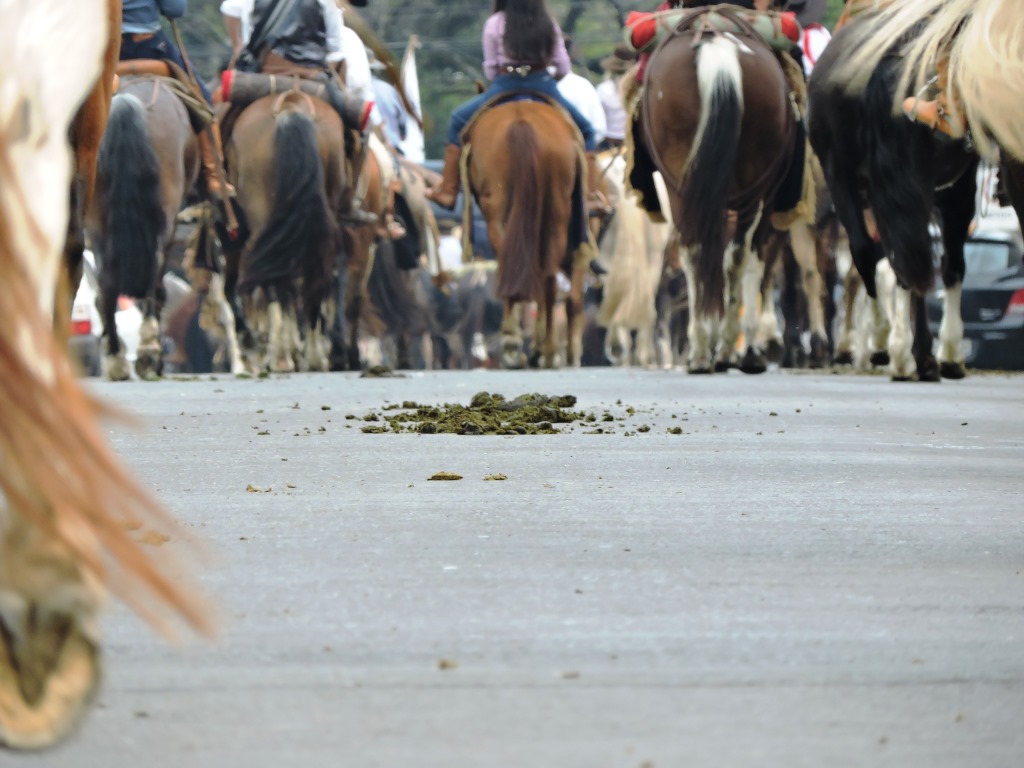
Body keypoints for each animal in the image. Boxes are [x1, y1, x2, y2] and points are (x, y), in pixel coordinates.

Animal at [462, 99, 589, 370]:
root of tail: (522, 121)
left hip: (502, 209)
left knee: (514, 265)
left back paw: (519, 345)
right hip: (555, 209)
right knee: (548, 276)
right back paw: (546, 349)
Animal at [638, 11, 798, 372]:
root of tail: (716, 45)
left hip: (682, 183)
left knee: (701, 250)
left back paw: (704, 347)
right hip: (751, 187)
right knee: (735, 256)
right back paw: (726, 348)